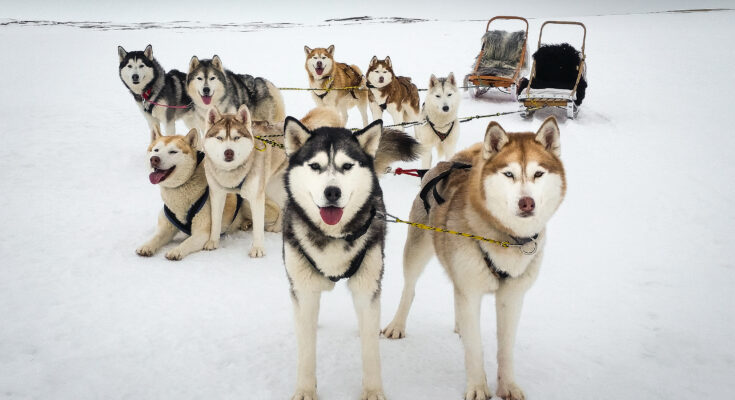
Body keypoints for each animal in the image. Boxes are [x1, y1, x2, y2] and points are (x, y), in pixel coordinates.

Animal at [137, 126, 252, 260]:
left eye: (173, 152)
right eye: (156, 150)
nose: (154, 159)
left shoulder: (202, 233)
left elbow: (187, 242)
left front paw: (176, 251)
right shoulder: (166, 227)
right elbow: (156, 237)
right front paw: (146, 246)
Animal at [282, 117, 420, 398]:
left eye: (347, 166)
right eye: (315, 166)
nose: (332, 192)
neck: (333, 236)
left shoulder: (367, 288)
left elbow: (370, 350)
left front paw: (373, 391)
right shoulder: (303, 289)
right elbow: (306, 350)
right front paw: (305, 390)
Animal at [382, 116, 568, 400]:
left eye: (538, 173)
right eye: (509, 174)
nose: (527, 203)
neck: (506, 238)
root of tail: (451, 161)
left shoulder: (511, 297)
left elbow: (505, 348)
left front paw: (508, 386)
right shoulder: (470, 292)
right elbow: (475, 348)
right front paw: (478, 387)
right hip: (417, 249)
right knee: (410, 289)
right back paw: (397, 324)